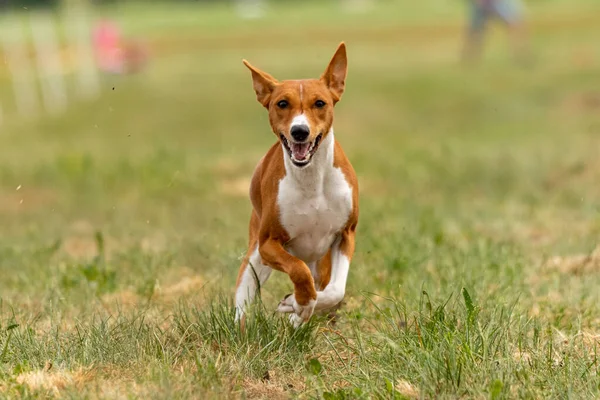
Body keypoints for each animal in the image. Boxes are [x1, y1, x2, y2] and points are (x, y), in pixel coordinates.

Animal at [234, 42, 356, 326]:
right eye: (282, 103)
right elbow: (299, 272)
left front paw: (296, 306)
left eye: (320, 103)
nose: (299, 131)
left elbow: (335, 290)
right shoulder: (269, 243)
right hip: (255, 257)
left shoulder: (345, 234)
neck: (312, 181)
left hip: (320, 259)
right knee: (242, 302)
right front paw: (299, 302)